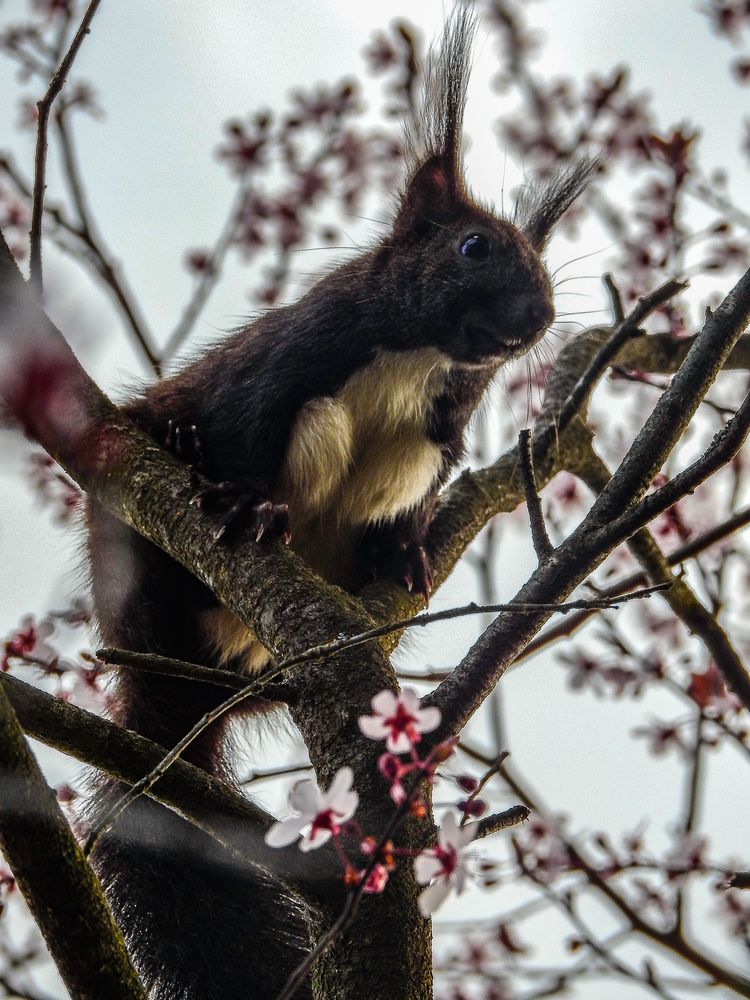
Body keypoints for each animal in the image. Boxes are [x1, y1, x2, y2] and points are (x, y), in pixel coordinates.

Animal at [82, 9, 600, 1000]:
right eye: (473, 247)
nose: (537, 320)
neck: (415, 356)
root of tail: (167, 691)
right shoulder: (291, 358)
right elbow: (250, 424)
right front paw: (244, 501)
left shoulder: (445, 430)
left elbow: (418, 496)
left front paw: (404, 554)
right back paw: (218, 493)